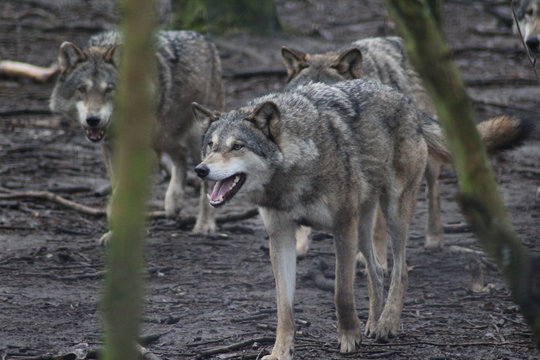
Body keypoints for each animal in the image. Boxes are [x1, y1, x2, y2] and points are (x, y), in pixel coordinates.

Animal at [50, 29, 224, 240]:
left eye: (109, 89)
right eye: (82, 89)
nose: (93, 119)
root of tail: (205, 39)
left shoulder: (144, 154)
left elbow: (122, 194)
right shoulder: (111, 150)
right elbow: (118, 190)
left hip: (196, 142)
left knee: (207, 180)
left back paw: (205, 225)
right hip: (163, 138)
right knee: (180, 154)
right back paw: (173, 203)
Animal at [282, 36, 532, 266]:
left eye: (328, 91)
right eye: (303, 92)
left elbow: (378, 229)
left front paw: (377, 261)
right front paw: (299, 245)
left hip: (420, 161)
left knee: (433, 188)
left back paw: (434, 237)